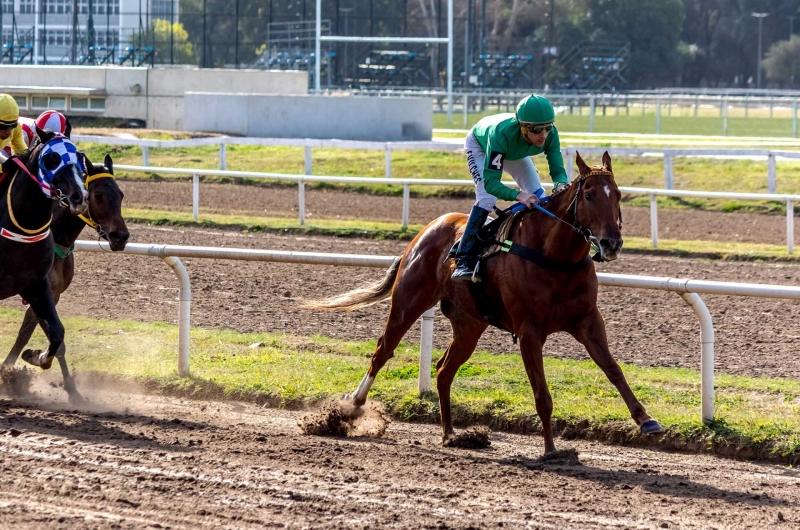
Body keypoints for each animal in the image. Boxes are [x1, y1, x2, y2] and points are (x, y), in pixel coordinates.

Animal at [2, 153, 128, 400]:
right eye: (97, 195)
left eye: (120, 194)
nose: (121, 236)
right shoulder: (39, 291)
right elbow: (53, 341)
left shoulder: (49, 294)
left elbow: (31, 335)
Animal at [310, 151, 664, 452]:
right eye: (589, 195)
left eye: (617, 195)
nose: (611, 243)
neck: (555, 257)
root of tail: (424, 232)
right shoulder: (528, 330)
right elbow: (542, 394)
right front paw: (551, 449)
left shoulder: (587, 320)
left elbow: (613, 369)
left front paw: (646, 421)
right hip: (407, 303)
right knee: (383, 351)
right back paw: (352, 406)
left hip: (469, 325)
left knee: (443, 370)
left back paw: (450, 433)